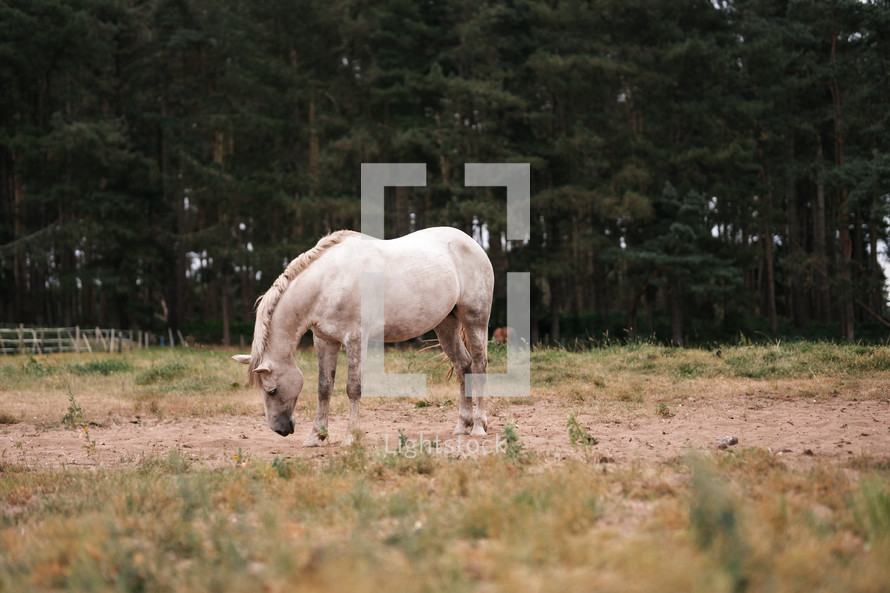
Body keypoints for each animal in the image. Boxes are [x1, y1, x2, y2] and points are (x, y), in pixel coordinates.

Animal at [232, 225, 492, 444]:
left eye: (272, 390)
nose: (280, 429)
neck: (328, 283)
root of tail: (472, 243)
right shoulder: (325, 340)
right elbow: (324, 388)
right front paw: (316, 437)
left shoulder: (355, 339)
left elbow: (353, 388)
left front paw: (351, 437)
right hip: (446, 325)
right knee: (463, 366)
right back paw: (462, 426)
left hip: (475, 320)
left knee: (479, 366)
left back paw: (479, 426)